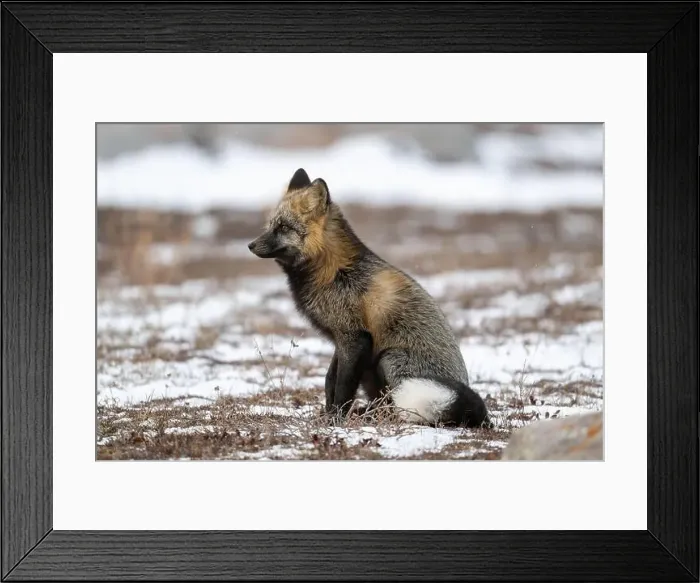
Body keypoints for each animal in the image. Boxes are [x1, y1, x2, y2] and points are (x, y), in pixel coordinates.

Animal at [248, 168, 490, 428]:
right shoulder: (341, 338)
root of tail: (485, 419)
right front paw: (328, 415)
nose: (250, 245)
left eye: (283, 227)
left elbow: (342, 388)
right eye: (270, 225)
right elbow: (329, 380)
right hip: (370, 369)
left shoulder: (355, 339)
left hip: (389, 359)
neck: (331, 271)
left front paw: (336, 420)